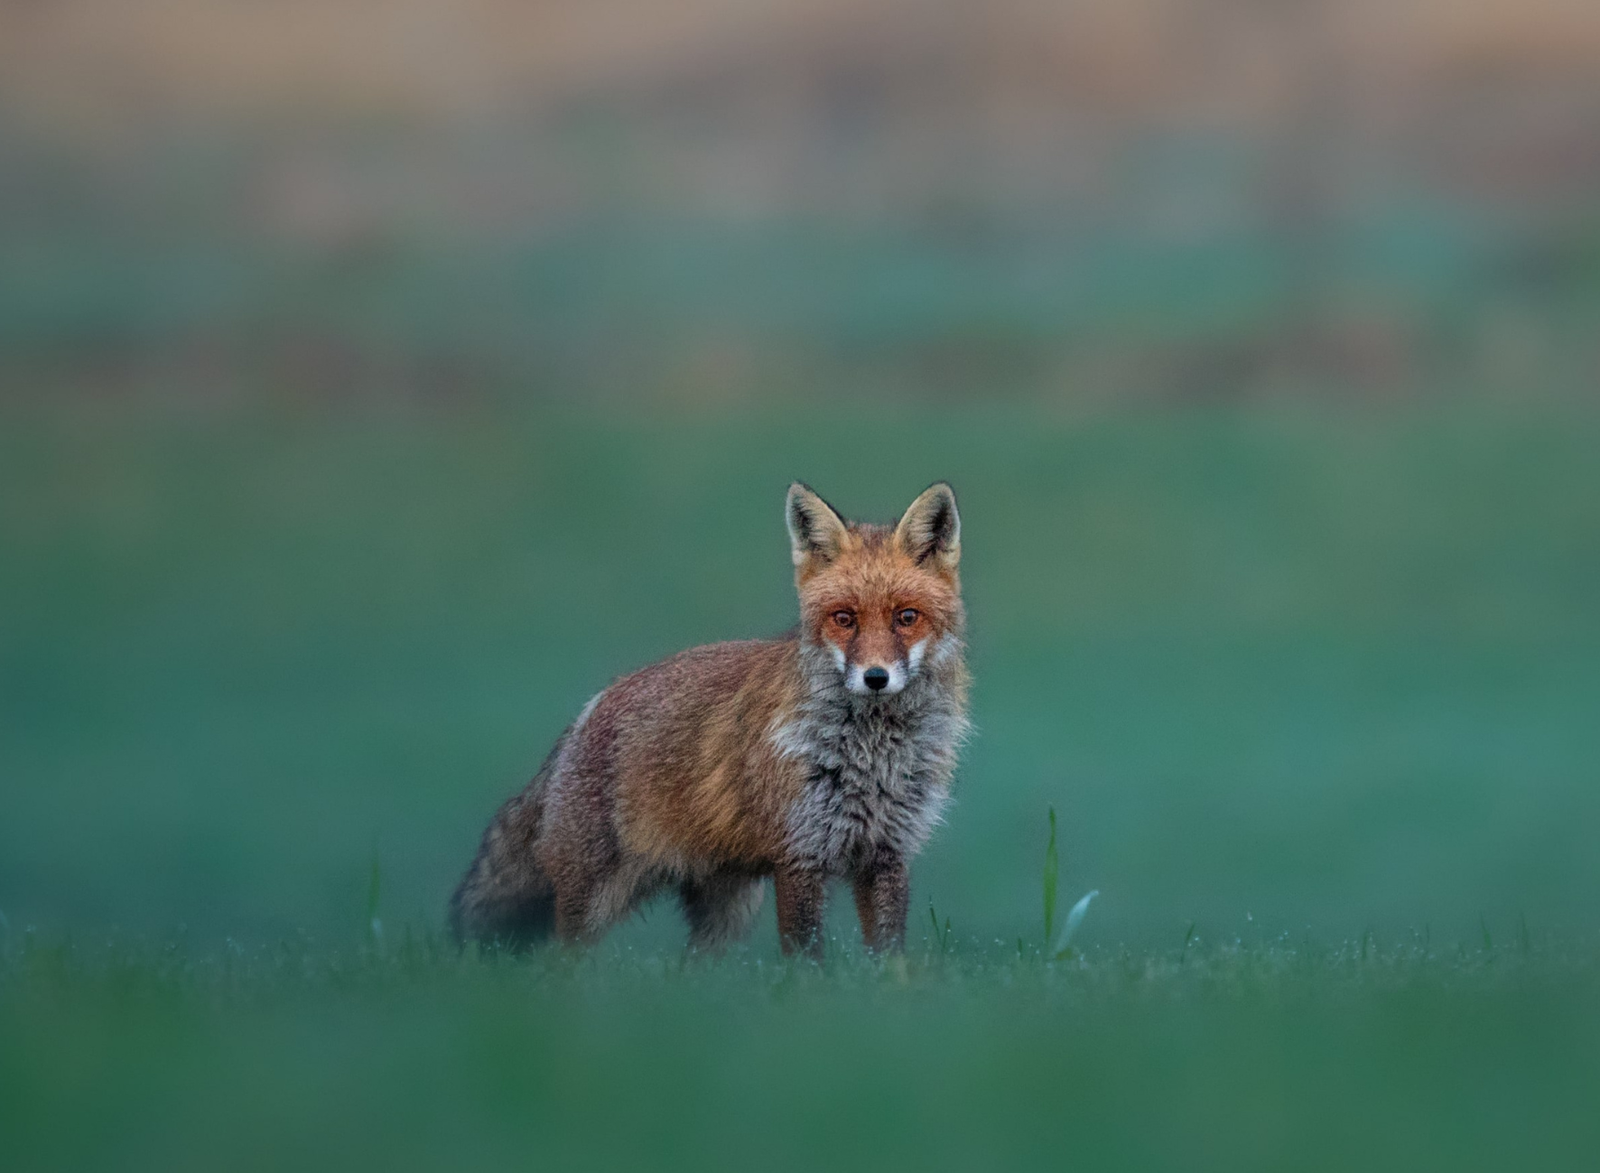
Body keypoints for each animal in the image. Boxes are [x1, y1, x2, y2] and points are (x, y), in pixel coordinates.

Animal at [454, 480, 972, 953]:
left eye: (907, 617)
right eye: (844, 619)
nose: (875, 678)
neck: (873, 756)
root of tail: (592, 706)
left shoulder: (887, 854)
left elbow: (889, 960)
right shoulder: (799, 855)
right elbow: (805, 962)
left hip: (728, 908)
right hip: (597, 899)